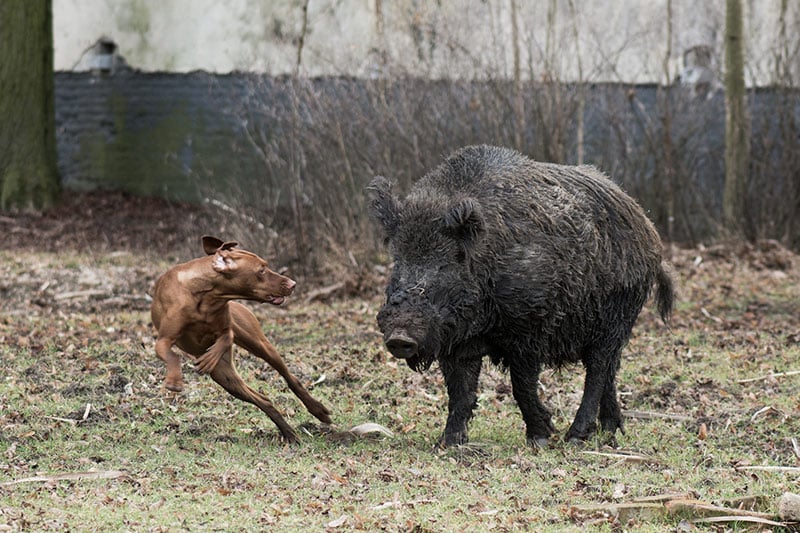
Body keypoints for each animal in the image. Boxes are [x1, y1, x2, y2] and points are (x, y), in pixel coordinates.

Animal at [152, 236, 330, 440]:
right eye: (261, 270)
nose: (293, 284)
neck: (205, 295)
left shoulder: (226, 328)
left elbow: (225, 337)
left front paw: (209, 357)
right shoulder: (163, 340)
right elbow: (172, 355)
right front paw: (174, 381)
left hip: (261, 346)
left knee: (290, 378)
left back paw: (318, 411)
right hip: (226, 378)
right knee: (263, 400)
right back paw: (289, 434)